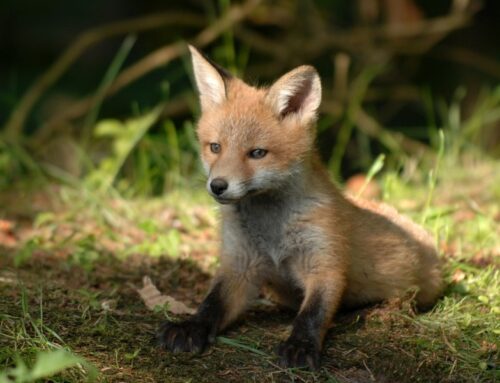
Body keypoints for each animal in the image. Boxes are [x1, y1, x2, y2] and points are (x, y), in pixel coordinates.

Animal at [158, 45, 444, 372]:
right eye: (215, 147)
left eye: (257, 153)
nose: (218, 186)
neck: (272, 229)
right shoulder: (239, 265)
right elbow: (211, 303)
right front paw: (190, 327)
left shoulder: (325, 263)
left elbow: (313, 313)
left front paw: (300, 346)